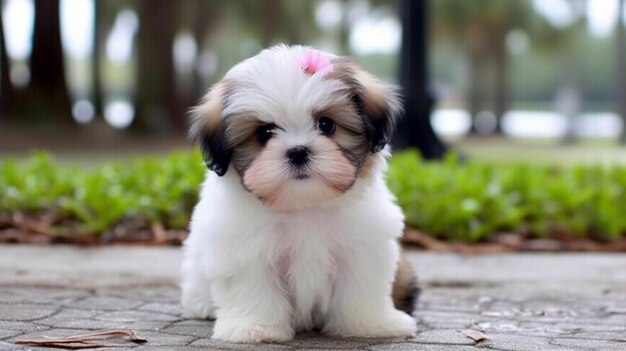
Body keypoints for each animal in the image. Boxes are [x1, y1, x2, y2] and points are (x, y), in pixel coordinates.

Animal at [179, 44, 414, 344]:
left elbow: (361, 286)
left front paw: (369, 324)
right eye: (264, 133)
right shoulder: (247, 251)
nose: (298, 151)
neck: (303, 205)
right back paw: (202, 304)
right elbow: (253, 288)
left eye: (326, 124)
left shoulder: (362, 247)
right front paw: (255, 327)